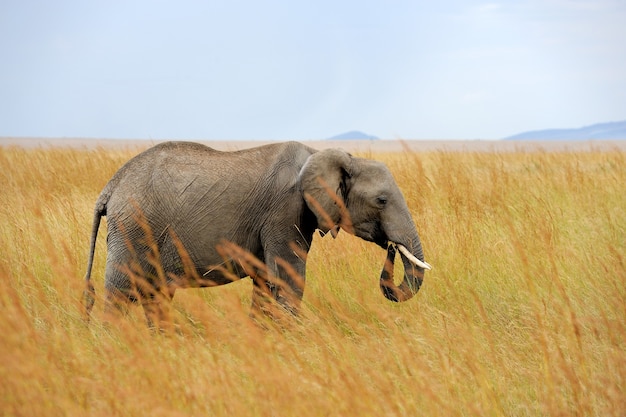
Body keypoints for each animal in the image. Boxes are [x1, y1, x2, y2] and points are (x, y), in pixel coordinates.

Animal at [83, 141, 432, 324]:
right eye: (382, 200)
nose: (391, 247)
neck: (323, 154)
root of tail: (110, 187)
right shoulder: (285, 211)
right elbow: (289, 280)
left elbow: (266, 282)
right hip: (133, 226)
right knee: (121, 291)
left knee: (154, 294)